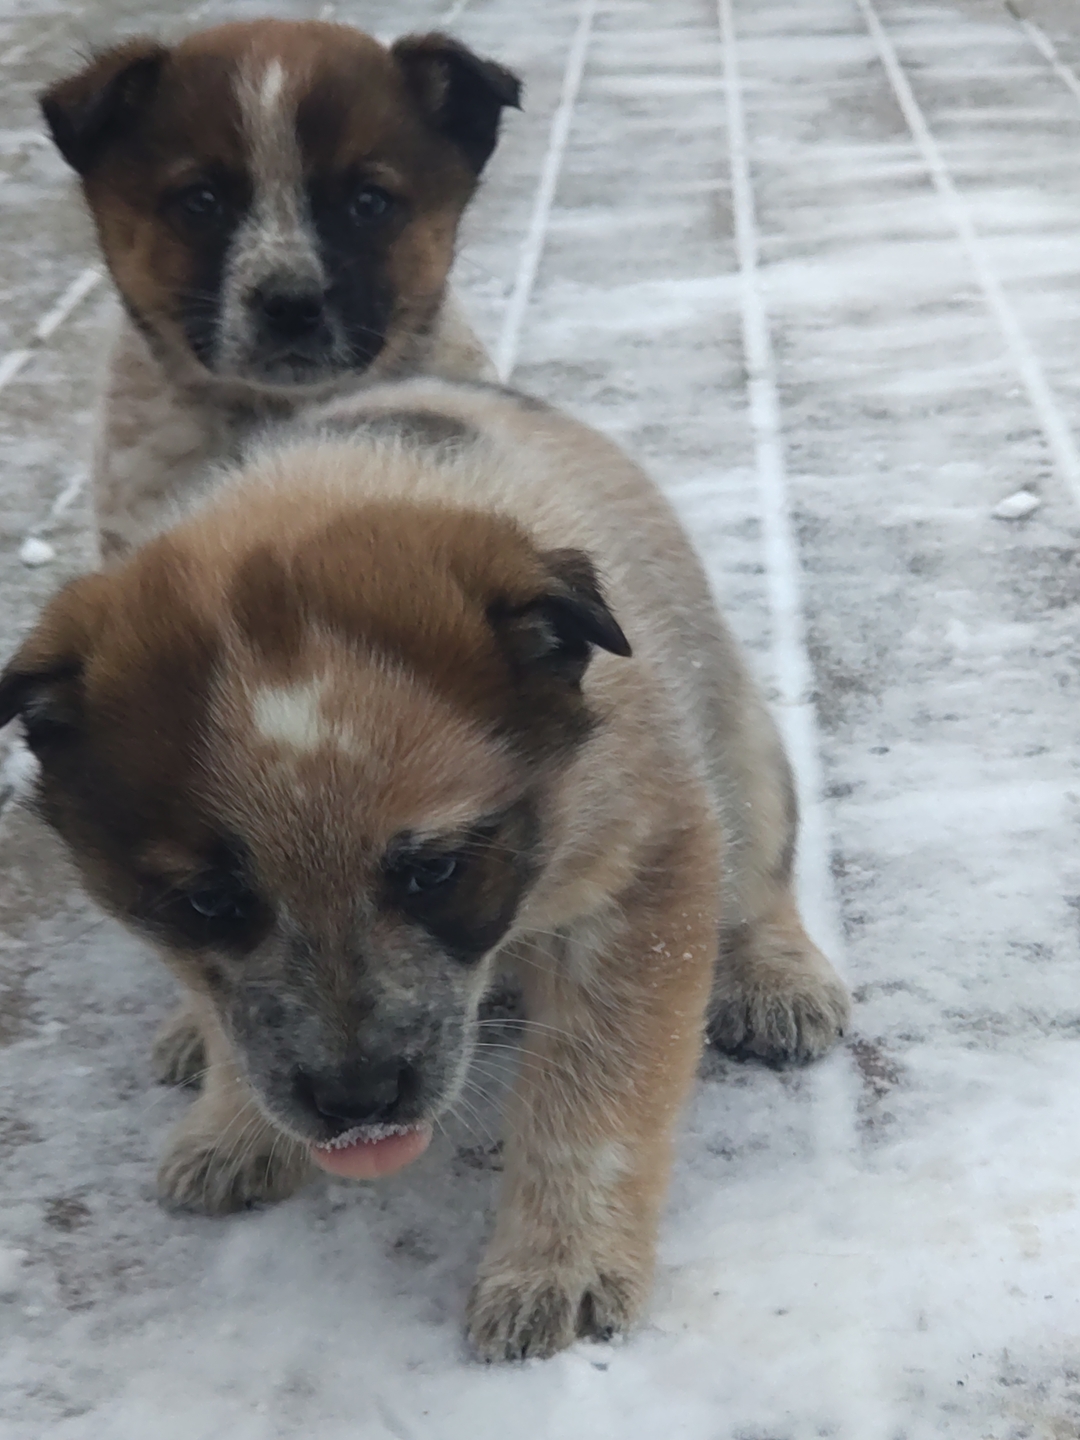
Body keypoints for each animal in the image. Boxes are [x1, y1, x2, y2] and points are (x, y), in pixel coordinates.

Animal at [0, 377, 852, 1353]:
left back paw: (774, 980)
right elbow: (230, 1013)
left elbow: (594, 1094)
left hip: (738, 753)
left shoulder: (647, 864)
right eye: (209, 901)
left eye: (435, 871)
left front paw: (558, 1266)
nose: (358, 1102)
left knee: (756, 879)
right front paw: (236, 1125)